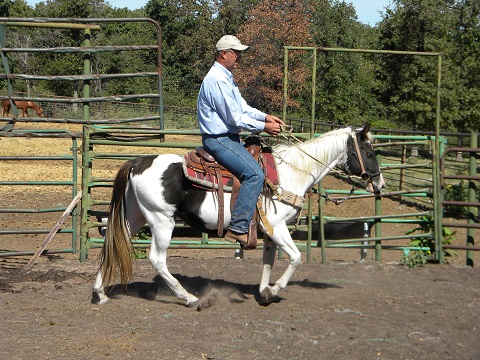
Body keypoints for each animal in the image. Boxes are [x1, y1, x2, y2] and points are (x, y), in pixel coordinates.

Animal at [93, 124, 386, 306]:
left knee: (112, 244)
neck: (292, 173)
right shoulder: (278, 226)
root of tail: (137, 161)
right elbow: (295, 257)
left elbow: (268, 261)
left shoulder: (269, 231)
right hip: (161, 220)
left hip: (135, 216)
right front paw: (274, 289)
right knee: (157, 258)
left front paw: (264, 292)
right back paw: (188, 297)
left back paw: (100, 292)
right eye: (369, 152)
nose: (380, 184)